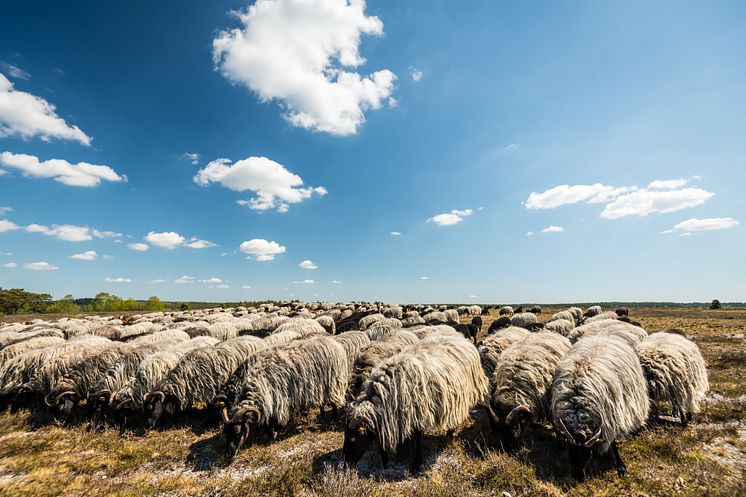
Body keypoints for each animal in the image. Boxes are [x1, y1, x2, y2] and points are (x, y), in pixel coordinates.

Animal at [342, 332, 488, 470]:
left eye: (353, 439)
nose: (345, 464)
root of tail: (463, 340)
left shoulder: (418, 411)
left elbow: (418, 438)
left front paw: (416, 463)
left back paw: (449, 434)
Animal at [548, 336, 648, 478]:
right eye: (570, 451)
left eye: (588, 454)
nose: (578, 477)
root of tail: (602, 336)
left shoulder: (610, 419)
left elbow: (612, 443)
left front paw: (621, 466)